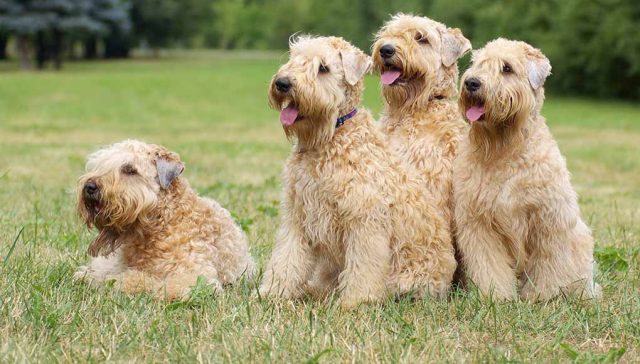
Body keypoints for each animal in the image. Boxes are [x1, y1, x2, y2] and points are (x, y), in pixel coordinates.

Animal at [258, 35, 452, 308]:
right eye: (294, 59)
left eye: (323, 68)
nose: (283, 83)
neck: (329, 138)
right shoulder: (298, 216)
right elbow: (286, 259)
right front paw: (271, 294)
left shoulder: (364, 221)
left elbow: (364, 267)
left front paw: (356, 302)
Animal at [456, 39, 600, 302]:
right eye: (478, 64)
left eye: (507, 68)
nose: (472, 83)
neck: (504, 150)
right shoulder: (479, 224)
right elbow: (490, 266)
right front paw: (496, 297)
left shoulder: (548, 220)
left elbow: (549, 264)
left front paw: (543, 296)